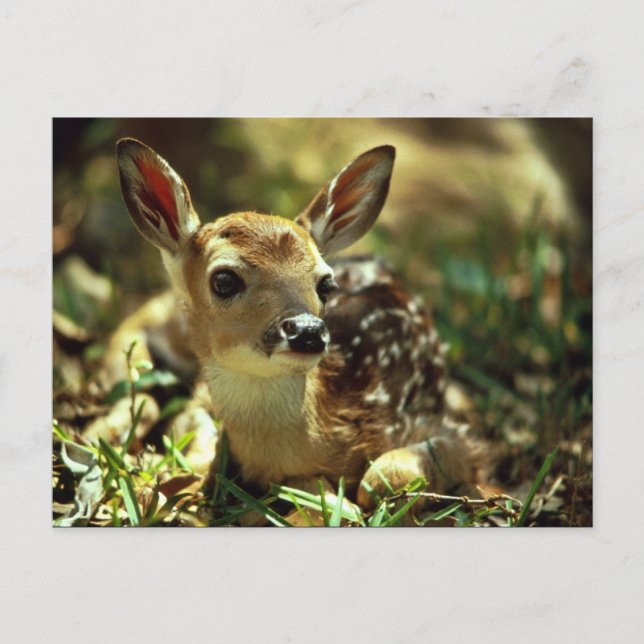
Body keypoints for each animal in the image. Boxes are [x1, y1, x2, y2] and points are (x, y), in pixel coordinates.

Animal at [115, 138, 479, 511]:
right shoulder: (200, 398)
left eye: (326, 284)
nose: (308, 331)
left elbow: (379, 479)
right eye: (224, 280)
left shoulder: (452, 432)